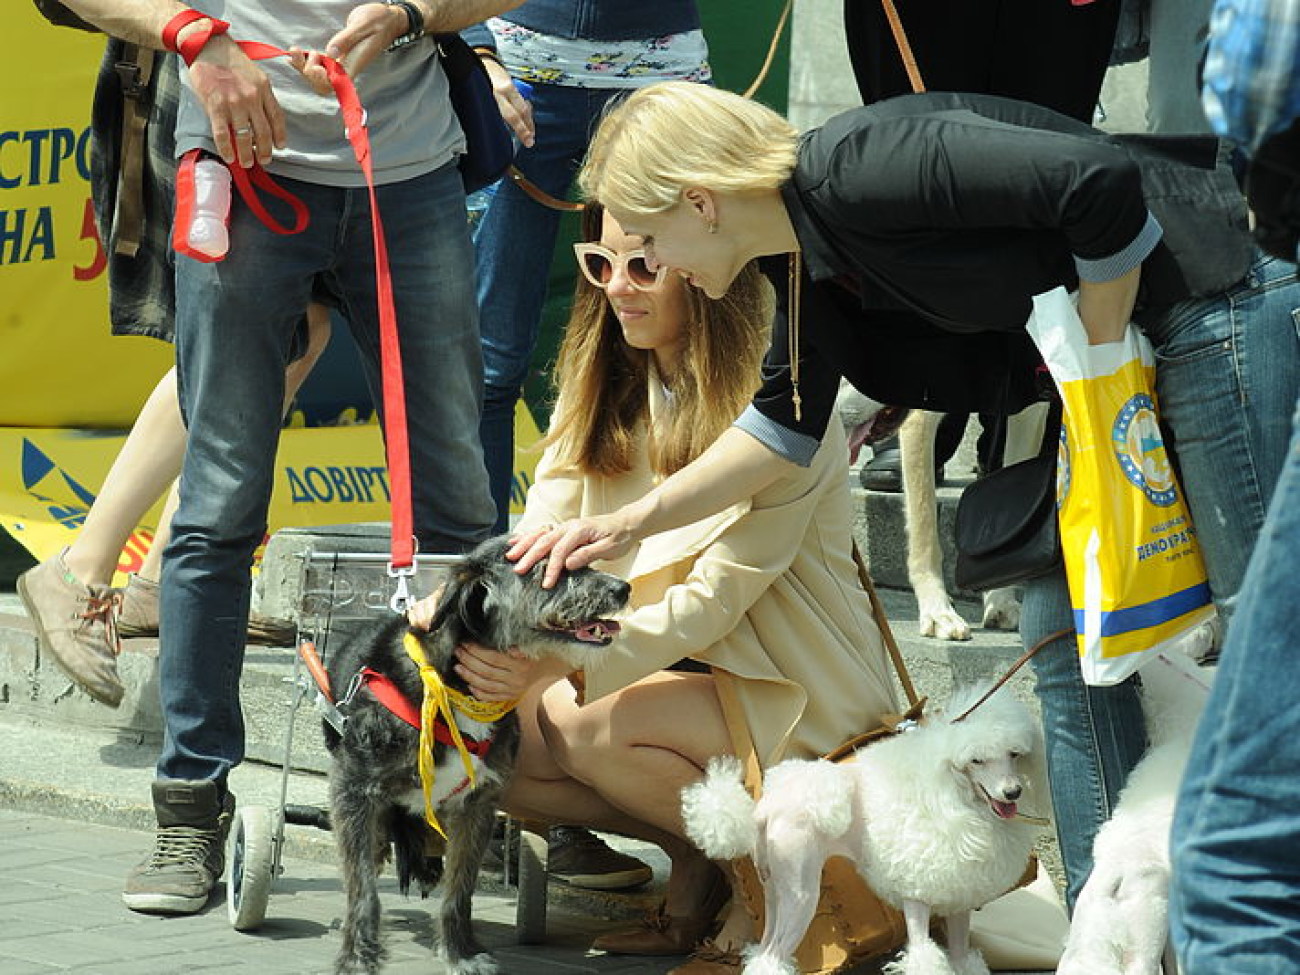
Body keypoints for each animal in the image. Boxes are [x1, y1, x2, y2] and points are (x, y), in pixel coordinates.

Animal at [325, 538, 629, 972]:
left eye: (582, 560)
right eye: (548, 568)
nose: (624, 589)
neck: (455, 690)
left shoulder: (478, 805)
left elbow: (460, 891)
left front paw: (461, 952)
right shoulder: (354, 793)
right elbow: (363, 888)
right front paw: (356, 959)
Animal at [686, 686, 1050, 975]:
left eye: (1014, 754)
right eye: (976, 760)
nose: (1012, 792)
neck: (950, 794)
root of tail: (763, 808)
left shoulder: (959, 901)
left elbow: (962, 961)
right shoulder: (917, 897)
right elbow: (923, 958)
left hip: (774, 891)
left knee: (762, 953)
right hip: (801, 895)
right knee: (771, 960)